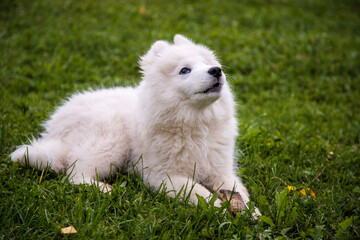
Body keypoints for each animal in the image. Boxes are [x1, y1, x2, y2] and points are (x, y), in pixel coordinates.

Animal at [11, 33, 258, 214]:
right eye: (185, 70)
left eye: (207, 63)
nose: (216, 70)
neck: (196, 123)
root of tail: (53, 130)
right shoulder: (163, 175)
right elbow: (200, 192)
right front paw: (221, 209)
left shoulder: (220, 170)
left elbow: (238, 190)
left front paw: (250, 213)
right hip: (111, 139)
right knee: (75, 174)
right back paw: (105, 189)